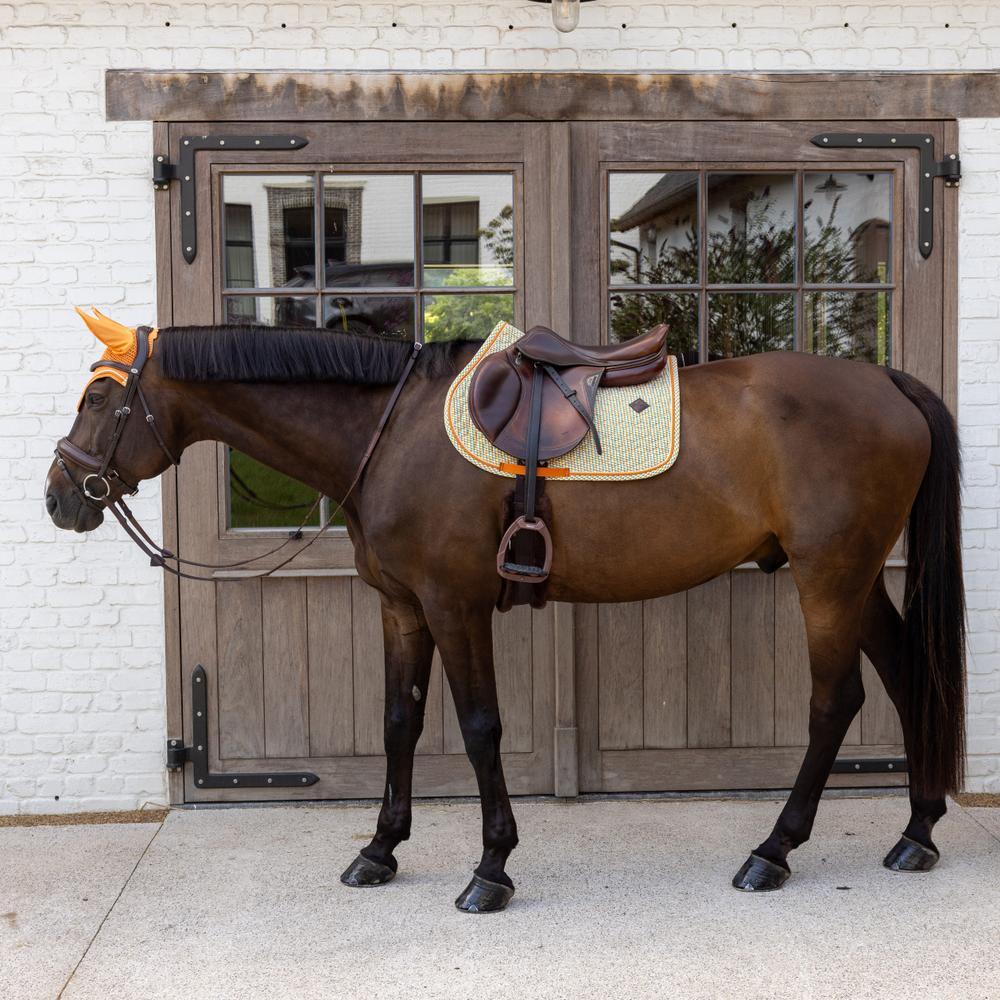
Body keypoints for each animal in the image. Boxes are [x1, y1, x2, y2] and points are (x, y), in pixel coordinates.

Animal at [45, 314, 965, 912]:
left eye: (98, 399)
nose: (60, 497)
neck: (392, 431)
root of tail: (888, 380)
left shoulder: (455, 604)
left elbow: (481, 725)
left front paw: (490, 868)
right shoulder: (402, 607)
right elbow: (400, 722)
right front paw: (379, 850)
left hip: (829, 576)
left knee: (836, 703)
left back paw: (773, 852)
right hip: (854, 578)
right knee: (905, 673)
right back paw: (917, 833)